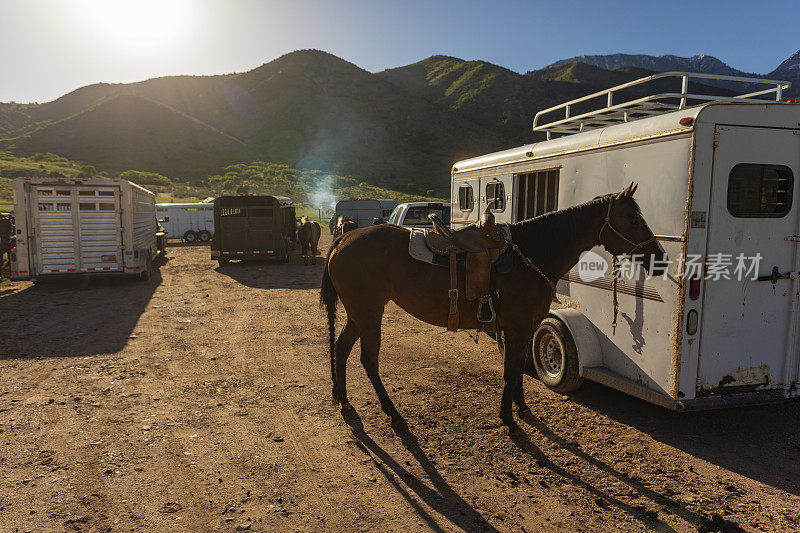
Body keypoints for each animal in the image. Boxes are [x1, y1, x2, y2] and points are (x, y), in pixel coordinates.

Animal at [322, 185, 664, 434]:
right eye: (633, 219)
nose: (658, 256)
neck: (534, 252)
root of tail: (344, 239)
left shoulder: (524, 327)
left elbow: (516, 369)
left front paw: (522, 408)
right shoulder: (517, 325)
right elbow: (511, 370)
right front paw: (508, 418)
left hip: (357, 314)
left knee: (340, 348)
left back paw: (344, 402)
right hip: (369, 312)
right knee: (368, 360)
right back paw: (392, 413)